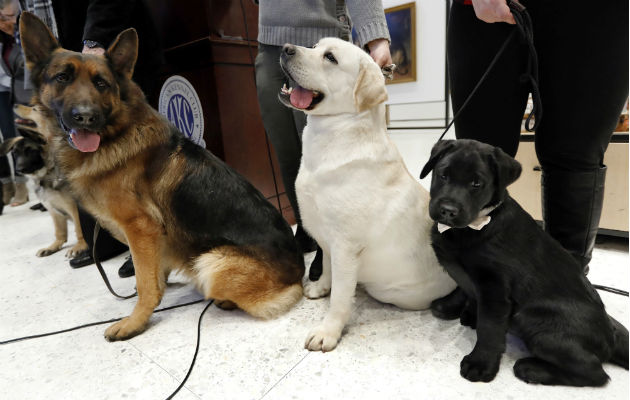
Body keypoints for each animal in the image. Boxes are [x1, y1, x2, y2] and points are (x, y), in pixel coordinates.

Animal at [0, 104, 89, 258]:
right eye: (15, 153)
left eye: (30, 151)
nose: (19, 169)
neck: (47, 173)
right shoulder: (53, 210)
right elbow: (59, 231)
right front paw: (53, 246)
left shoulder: (74, 208)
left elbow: (79, 229)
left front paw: (80, 246)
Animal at [19, 12, 306, 340]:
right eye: (62, 78)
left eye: (101, 83)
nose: (85, 117)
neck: (116, 134)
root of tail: (299, 272)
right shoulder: (151, 237)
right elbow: (153, 274)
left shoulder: (140, 227)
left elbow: (145, 284)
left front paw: (135, 321)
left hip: (211, 262)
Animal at [278, 37, 456, 350]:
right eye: (315, 46)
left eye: (330, 58)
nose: (286, 48)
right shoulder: (327, 240)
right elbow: (327, 270)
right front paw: (320, 287)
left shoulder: (345, 247)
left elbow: (340, 298)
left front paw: (328, 331)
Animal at [422, 139, 628, 386]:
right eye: (443, 175)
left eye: (476, 183)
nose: (447, 211)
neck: (478, 224)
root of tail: (611, 338)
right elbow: (464, 288)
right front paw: (460, 309)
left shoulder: (496, 290)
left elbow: (489, 329)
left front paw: (481, 363)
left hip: (530, 319)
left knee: (595, 373)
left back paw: (531, 369)